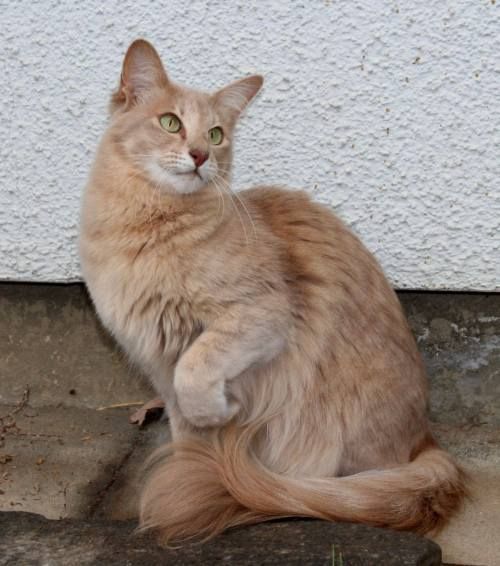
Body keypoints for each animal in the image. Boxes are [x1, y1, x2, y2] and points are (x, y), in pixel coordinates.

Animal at [78, 37, 464, 544]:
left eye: (216, 135)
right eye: (170, 123)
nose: (200, 156)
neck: (149, 228)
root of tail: (426, 440)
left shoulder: (262, 315)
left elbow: (195, 370)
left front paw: (215, 419)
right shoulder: (159, 360)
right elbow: (187, 427)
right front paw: (190, 477)